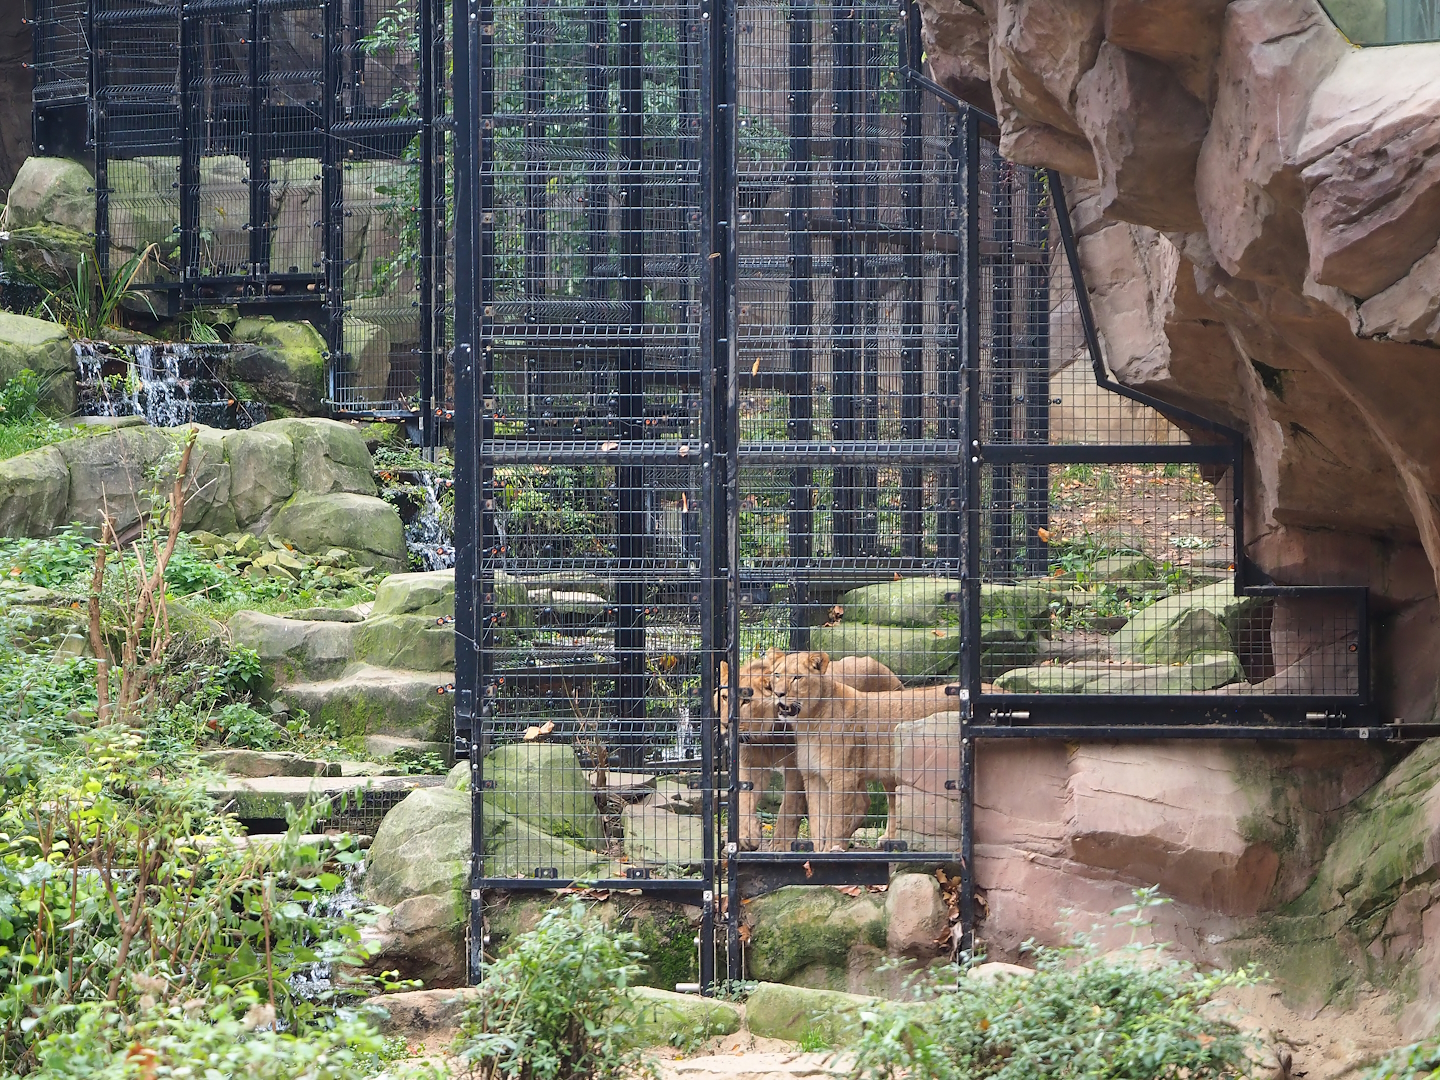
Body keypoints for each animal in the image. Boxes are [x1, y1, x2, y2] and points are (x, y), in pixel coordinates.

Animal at [718, 649, 903, 850]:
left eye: (746, 701)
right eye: (724, 697)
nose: (725, 724)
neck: (765, 736)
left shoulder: (797, 768)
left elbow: (789, 806)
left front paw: (780, 845)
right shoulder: (751, 764)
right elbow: (744, 798)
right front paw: (747, 834)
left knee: (892, 797)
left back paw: (887, 838)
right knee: (862, 802)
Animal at [761, 650, 959, 851]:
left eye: (797, 677)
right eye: (777, 675)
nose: (778, 694)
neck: (808, 722)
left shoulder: (842, 777)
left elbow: (834, 822)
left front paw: (831, 850)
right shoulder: (814, 776)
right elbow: (818, 822)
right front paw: (819, 852)